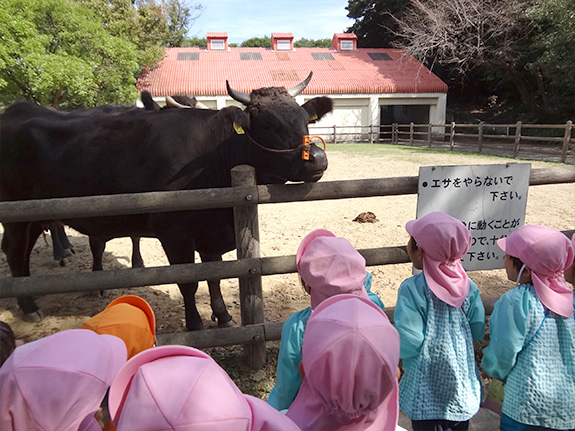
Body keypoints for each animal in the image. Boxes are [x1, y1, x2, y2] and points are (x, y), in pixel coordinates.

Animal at [0, 73, 332, 330]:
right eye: (268, 125)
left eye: (305, 120)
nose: (318, 158)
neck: (214, 152)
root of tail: (15, 110)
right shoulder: (174, 232)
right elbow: (189, 282)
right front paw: (195, 325)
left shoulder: (210, 233)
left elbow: (214, 275)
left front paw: (223, 315)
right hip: (17, 217)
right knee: (15, 250)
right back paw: (29, 306)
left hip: (32, 218)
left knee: (23, 253)